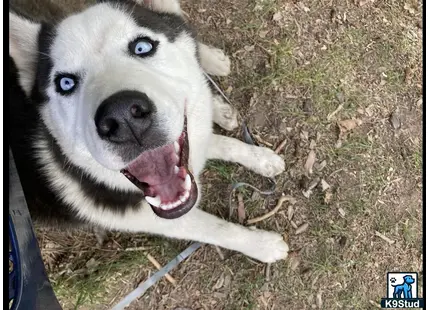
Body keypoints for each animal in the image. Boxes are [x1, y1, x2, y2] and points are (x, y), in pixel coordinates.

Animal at [9, 0, 288, 264]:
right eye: (65, 83)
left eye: (142, 47)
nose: (122, 116)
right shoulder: (147, 216)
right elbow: (216, 228)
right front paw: (262, 245)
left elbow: (218, 142)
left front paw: (261, 159)